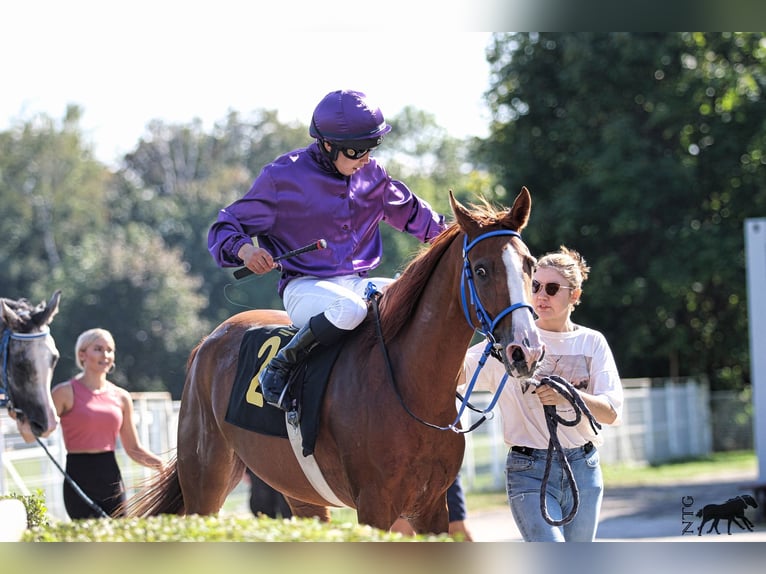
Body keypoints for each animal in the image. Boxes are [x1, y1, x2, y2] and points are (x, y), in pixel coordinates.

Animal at [127, 189, 544, 536]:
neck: (409, 387)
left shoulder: (430, 508)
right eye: (482, 270)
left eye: (530, 265)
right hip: (206, 481)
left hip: (299, 493)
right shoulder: (375, 506)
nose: (526, 349)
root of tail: (207, 341)